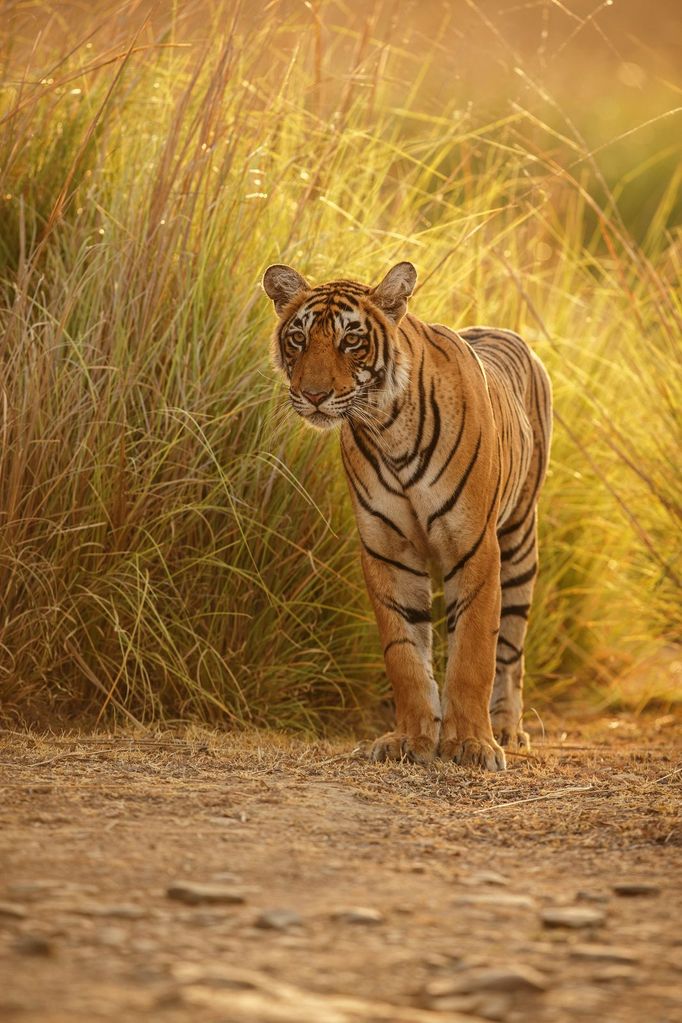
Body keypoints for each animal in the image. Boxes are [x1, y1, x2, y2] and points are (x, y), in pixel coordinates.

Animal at [263, 259, 552, 769]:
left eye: (351, 340)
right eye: (298, 338)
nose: (313, 395)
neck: (387, 426)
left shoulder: (474, 546)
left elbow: (473, 652)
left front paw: (473, 744)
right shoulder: (388, 550)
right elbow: (405, 655)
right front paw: (412, 738)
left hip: (520, 540)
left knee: (511, 648)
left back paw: (506, 728)